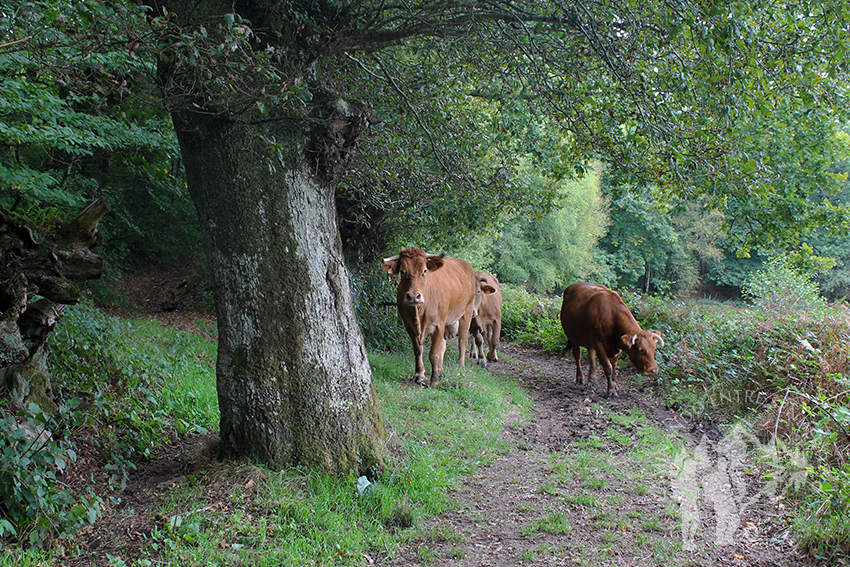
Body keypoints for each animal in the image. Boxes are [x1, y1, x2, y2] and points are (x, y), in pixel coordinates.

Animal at [382, 250, 476, 388]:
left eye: (424, 271)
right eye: (402, 271)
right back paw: (440, 368)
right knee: (443, 345)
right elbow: (418, 350)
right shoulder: (409, 326)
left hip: (467, 310)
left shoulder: (438, 325)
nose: (414, 296)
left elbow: (433, 354)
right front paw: (419, 374)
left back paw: (460, 364)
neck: (419, 313)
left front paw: (435, 379)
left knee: (462, 340)